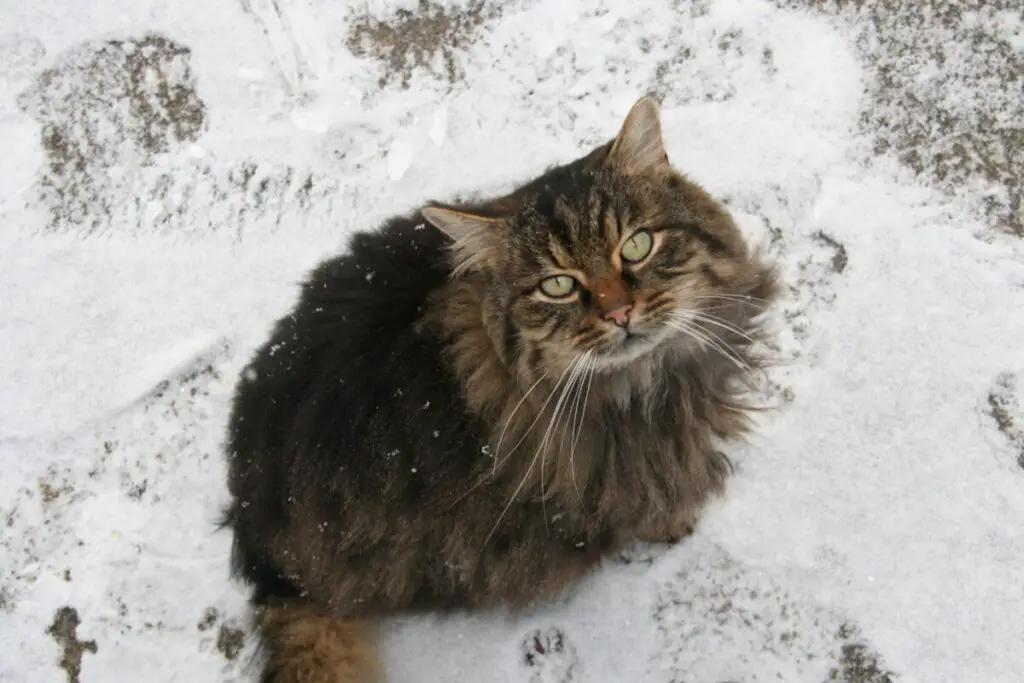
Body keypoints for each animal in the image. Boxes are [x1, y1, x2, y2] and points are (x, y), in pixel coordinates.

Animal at [224, 97, 778, 683]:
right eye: (557, 285)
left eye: (637, 245)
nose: (619, 312)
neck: (642, 380)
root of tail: (260, 543)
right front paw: (675, 522)